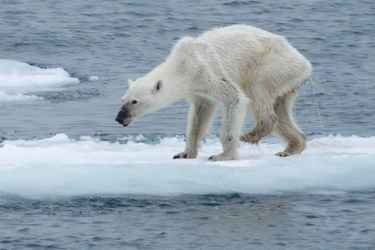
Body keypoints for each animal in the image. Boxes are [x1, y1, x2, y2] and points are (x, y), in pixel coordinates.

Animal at [116, 24, 312, 160]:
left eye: (135, 101)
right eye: (123, 99)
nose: (119, 118)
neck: (183, 64)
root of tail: (305, 63)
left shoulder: (207, 72)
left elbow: (235, 99)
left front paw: (222, 156)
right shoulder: (198, 90)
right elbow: (199, 115)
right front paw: (184, 153)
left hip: (271, 66)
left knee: (257, 92)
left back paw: (251, 135)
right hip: (287, 80)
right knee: (281, 109)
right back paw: (291, 148)